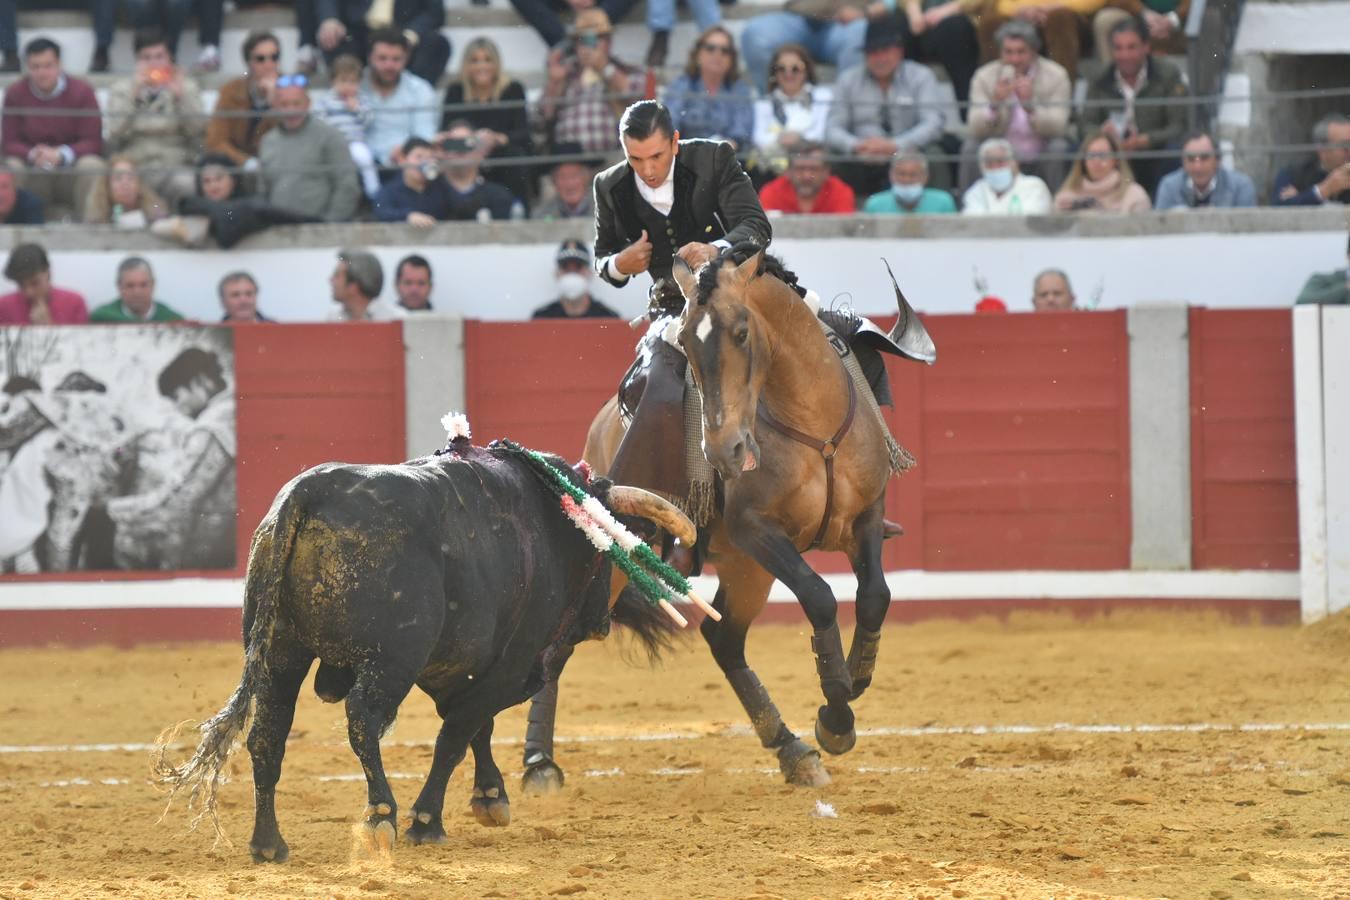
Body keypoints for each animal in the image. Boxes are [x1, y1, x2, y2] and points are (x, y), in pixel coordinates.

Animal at [155, 439, 696, 863]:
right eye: (609, 549)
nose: (602, 621)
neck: (552, 523)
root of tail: (309, 491)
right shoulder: (509, 663)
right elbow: (456, 735)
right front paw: (427, 821)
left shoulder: (469, 668)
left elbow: (477, 728)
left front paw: (490, 797)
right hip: (388, 662)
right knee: (362, 718)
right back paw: (382, 816)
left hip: (279, 652)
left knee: (268, 734)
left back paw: (269, 844)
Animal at [521, 248, 934, 788]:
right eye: (687, 344)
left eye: (742, 332)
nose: (724, 451)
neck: (810, 420)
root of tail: (601, 426)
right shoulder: (754, 530)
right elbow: (820, 596)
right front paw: (836, 709)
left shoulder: (865, 516)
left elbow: (874, 598)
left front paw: (850, 690)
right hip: (626, 557)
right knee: (561, 635)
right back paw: (538, 763)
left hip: (745, 569)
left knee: (724, 640)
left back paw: (791, 749)